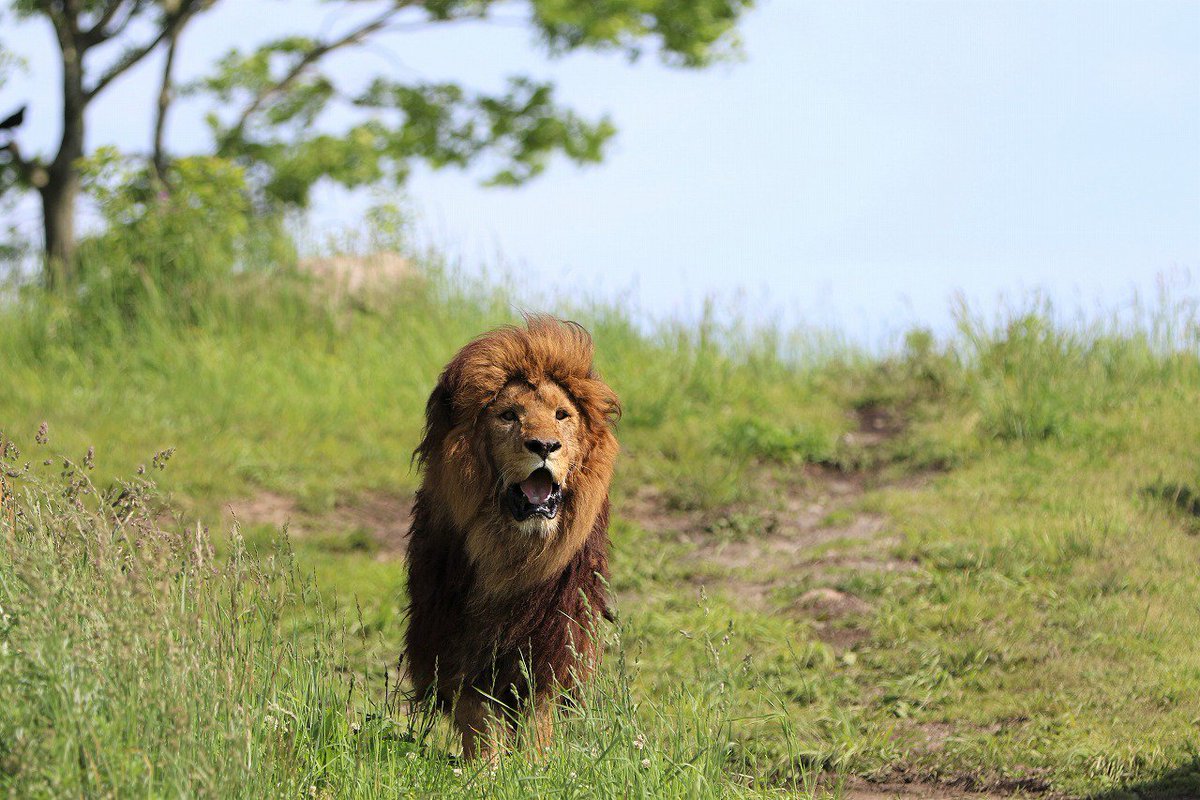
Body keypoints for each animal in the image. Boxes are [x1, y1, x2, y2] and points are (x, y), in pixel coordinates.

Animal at [408, 316, 624, 762]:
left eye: (562, 415)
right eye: (508, 415)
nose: (544, 446)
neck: (513, 552)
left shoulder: (550, 643)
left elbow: (538, 715)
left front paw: (537, 765)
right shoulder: (455, 642)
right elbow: (478, 718)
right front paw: (485, 769)